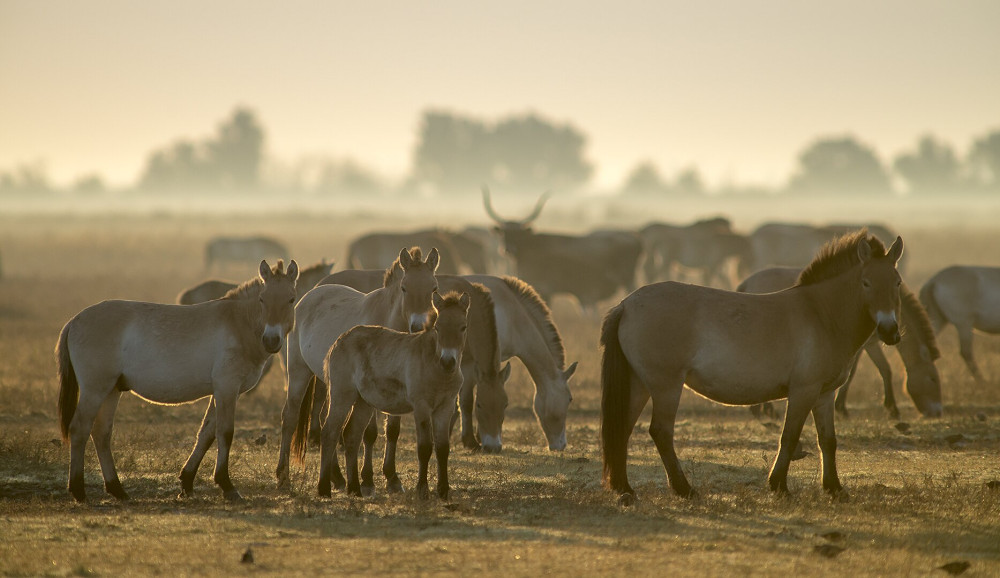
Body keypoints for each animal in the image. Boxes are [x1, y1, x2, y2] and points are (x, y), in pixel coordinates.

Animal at [56, 258, 298, 500]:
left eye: (291, 299)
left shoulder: (222, 392)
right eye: (262, 299)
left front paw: (187, 482)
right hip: (95, 390)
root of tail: (74, 320)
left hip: (111, 391)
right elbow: (225, 433)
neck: (239, 323)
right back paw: (78, 490)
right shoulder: (227, 389)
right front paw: (227, 486)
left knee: (101, 433)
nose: (271, 340)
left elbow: (206, 434)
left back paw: (117, 489)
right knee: (80, 429)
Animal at [322, 290, 474, 498]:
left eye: (463, 327)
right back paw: (324, 489)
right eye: (438, 327)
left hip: (363, 402)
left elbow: (443, 448)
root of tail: (338, 342)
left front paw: (443, 491)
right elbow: (424, 448)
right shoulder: (421, 407)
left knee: (351, 435)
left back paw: (355, 490)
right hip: (342, 395)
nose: (448, 362)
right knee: (330, 432)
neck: (434, 366)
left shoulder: (445, 407)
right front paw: (422, 489)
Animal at [600, 231, 908, 504]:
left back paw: (624, 488)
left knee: (623, 428)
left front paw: (834, 488)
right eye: (866, 282)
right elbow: (789, 436)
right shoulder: (803, 392)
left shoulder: (824, 394)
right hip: (666, 387)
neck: (821, 314)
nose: (890, 331)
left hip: (640, 384)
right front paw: (779, 485)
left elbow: (828, 440)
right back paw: (683, 489)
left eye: (897, 282)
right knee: (661, 432)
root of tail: (626, 305)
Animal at [740, 264, 940, 416]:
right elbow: (867, 371)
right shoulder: (864, 345)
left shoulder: (867, 344)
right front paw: (844, 407)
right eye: (933, 379)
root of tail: (747, 281)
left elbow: (879, 369)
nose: (937, 413)